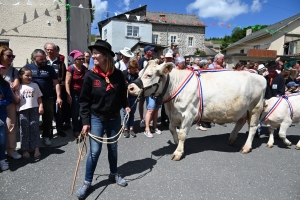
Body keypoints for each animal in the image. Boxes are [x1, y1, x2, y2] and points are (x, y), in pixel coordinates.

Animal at [129, 60, 268, 160]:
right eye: (139, 73)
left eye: (149, 75)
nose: (130, 87)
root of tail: (259, 75)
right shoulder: (173, 114)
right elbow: (172, 129)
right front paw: (177, 143)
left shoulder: (188, 114)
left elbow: (182, 133)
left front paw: (178, 152)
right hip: (243, 109)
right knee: (240, 122)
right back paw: (232, 139)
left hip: (255, 107)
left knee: (253, 127)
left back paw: (246, 147)